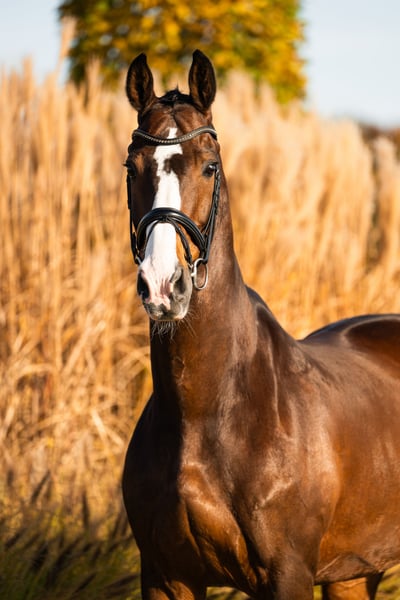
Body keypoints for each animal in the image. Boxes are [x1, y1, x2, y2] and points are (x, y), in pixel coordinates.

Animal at [122, 50, 400, 600]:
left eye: (209, 166)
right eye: (131, 166)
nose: (164, 285)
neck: (208, 410)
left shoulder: (287, 573)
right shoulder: (165, 575)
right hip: (355, 571)